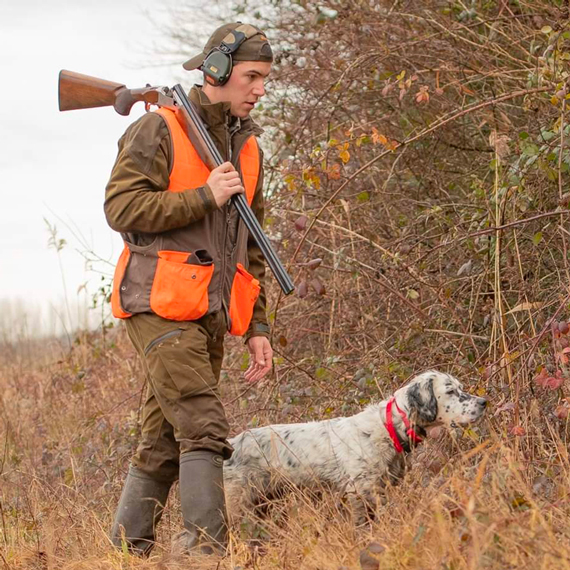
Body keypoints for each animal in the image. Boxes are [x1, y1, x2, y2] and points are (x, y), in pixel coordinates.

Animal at [222, 368, 484, 520]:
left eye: (461, 388)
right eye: (450, 391)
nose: (484, 402)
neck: (388, 428)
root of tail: (230, 445)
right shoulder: (360, 492)